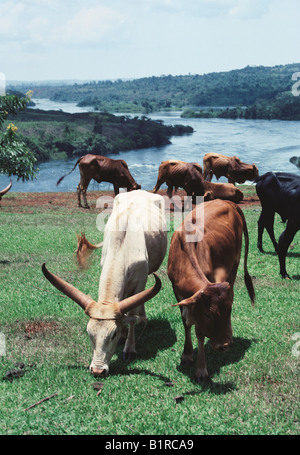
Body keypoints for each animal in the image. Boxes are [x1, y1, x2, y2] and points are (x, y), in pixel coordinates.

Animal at [42, 189, 168, 378]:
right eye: (89, 333)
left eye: (112, 335)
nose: (98, 370)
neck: (123, 245)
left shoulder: (140, 281)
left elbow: (132, 315)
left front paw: (129, 347)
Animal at [168, 200, 254, 382]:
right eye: (208, 315)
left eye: (228, 312)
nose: (223, 345)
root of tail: (228, 202)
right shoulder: (177, 291)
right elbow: (186, 323)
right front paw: (187, 355)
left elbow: (199, 332)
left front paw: (201, 369)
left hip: (235, 263)